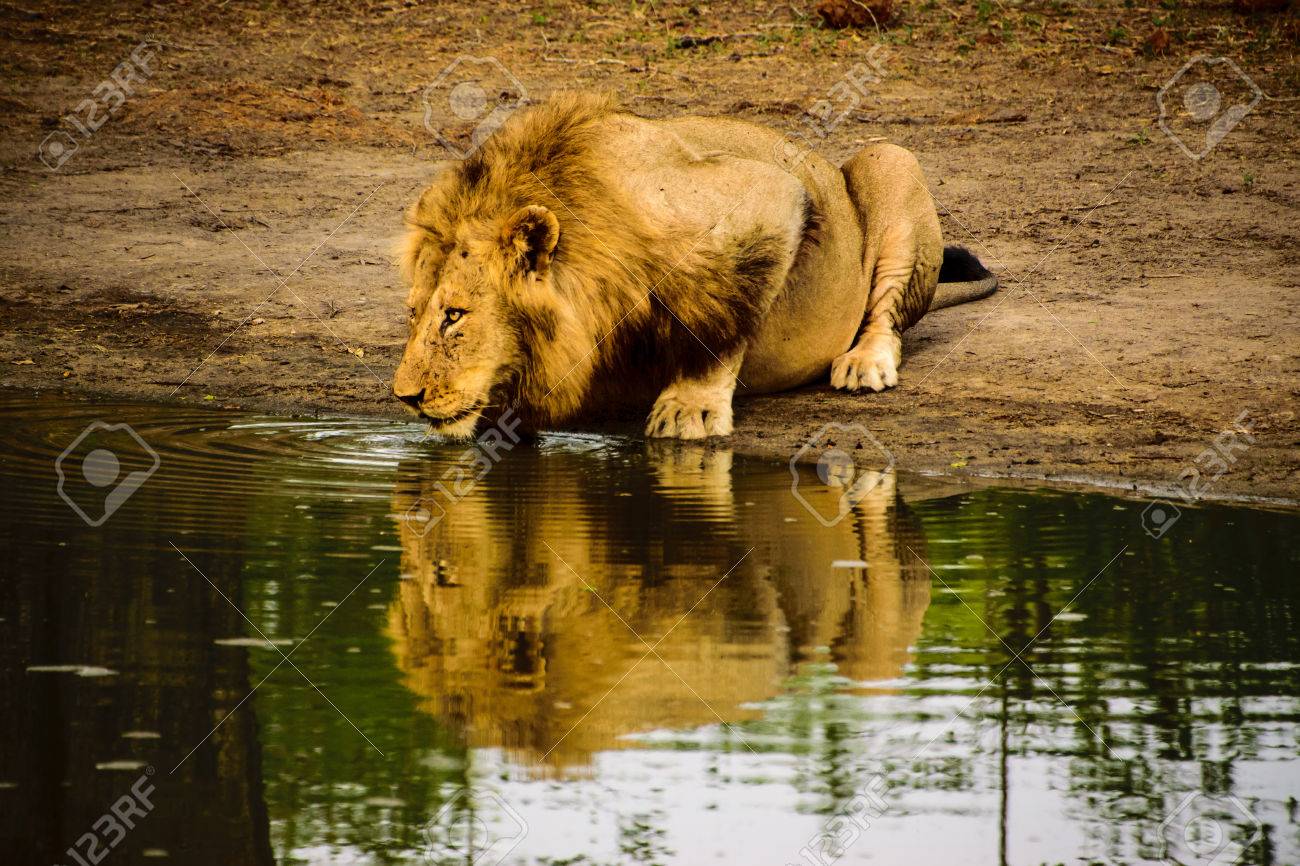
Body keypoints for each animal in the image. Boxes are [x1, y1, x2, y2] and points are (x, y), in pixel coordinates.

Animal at [393, 92, 997, 439]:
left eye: (454, 316)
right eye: (414, 314)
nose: (405, 398)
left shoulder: (763, 199)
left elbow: (717, 321)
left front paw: (690, 409)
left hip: (888, 159)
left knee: (886, 314)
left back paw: (864, 362)